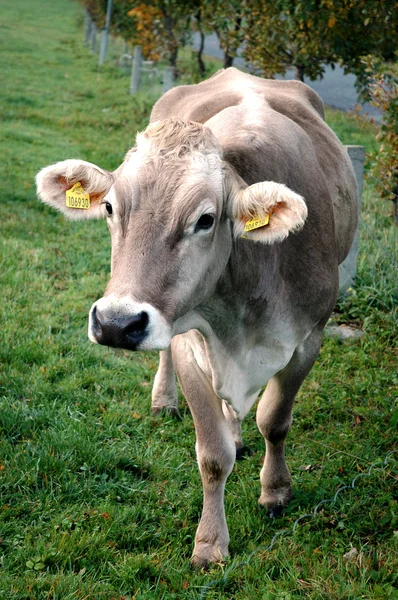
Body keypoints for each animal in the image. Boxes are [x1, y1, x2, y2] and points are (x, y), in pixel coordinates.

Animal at [36, 69, 358, 568]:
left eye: (206, 219)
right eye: (109, 207)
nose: (116, 323)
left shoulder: (309, 339)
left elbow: (275, 420)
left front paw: (276, 491)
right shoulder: (190, 341)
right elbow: (211, 454)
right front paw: (210, 543)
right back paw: (165, 401)